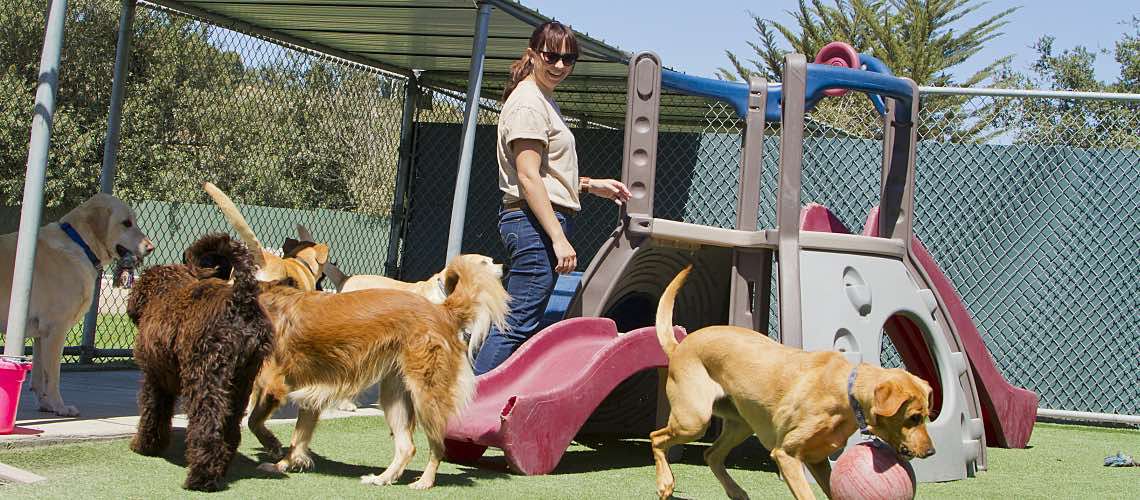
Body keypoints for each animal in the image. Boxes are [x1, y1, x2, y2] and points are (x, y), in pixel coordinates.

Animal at [0, 193, 153, 416]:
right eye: (126, 223)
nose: (151, 247)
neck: (80, 244)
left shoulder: (40, 334)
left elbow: (39, 376)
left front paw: (46, 405)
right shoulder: (56, 329)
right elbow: (52, 376)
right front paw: (60, 406)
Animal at [126, 234, 273, 494]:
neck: (165, 290)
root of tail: (240, 300)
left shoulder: (154, 378)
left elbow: (152, 413)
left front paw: (145, 446)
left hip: (205, 378)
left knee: (207, 427)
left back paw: (200, 478)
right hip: (241, 383)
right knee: (230, 429)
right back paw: (220, 469)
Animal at [247, 256, 510, 492]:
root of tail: (442, 310)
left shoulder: (274, 385)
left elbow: (254, 421)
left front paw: (273, 446)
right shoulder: (310, 397)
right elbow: (298, 439)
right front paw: (283, 465)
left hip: (425, 395)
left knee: (437, 446)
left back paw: (424, 482)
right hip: (395, 395)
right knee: (407, 446)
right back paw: (383, 478)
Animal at [652, 264, 934, 498]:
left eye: (926, 416)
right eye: (913, 417)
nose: (931, 452)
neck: (846, 391)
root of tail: (679, 347)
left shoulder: (818, 460)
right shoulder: (786, 455)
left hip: (740, 423)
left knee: (711, 454)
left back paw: (736, 491)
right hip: (694, 420)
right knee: (657, 438)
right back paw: (666, 483)